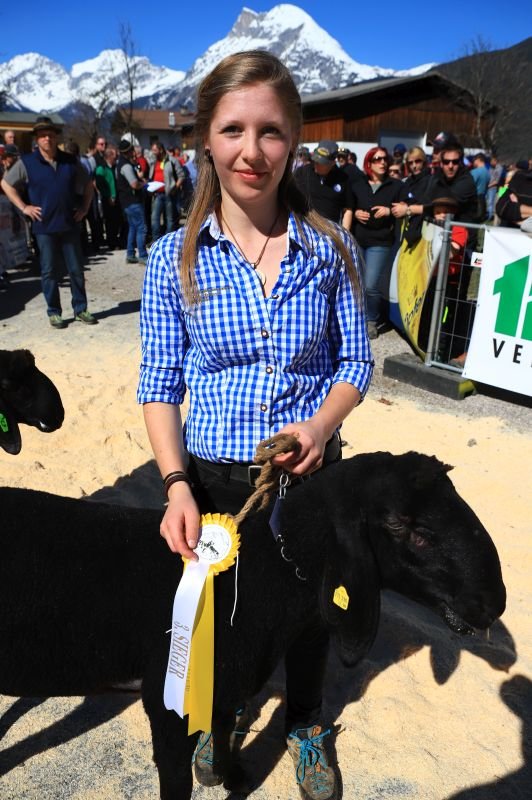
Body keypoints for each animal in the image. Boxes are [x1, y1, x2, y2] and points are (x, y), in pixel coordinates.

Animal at [0, 451, 506, 799]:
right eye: (405, 528)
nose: (492, 603)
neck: (268, 571)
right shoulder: (168, 704)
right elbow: (176, 781)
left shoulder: (224, 691)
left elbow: (224, 734)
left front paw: (234, 778)